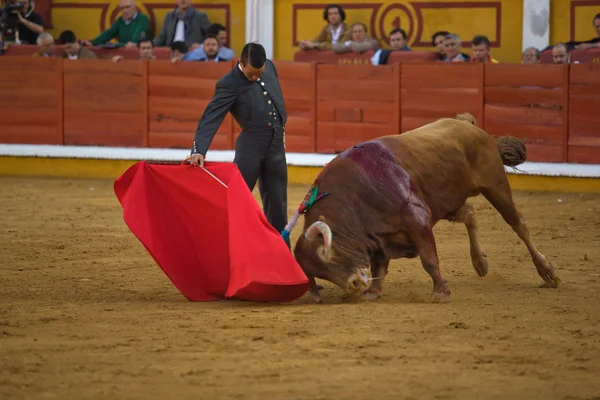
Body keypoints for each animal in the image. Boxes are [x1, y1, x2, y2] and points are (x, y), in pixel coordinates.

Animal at [292, 112, 560, 304]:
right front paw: (374, 292)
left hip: (495, 185)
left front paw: (441, 293)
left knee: (518, 223)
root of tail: (466, 123)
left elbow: (428, 259)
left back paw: (547, 272)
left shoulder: (417, 218)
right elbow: (380, 264)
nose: (354, 285)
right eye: (318, 272)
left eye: (325, 252)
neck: (354, 198)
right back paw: (480, 264)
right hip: (447, 200)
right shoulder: (378, 234)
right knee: (470, 214)